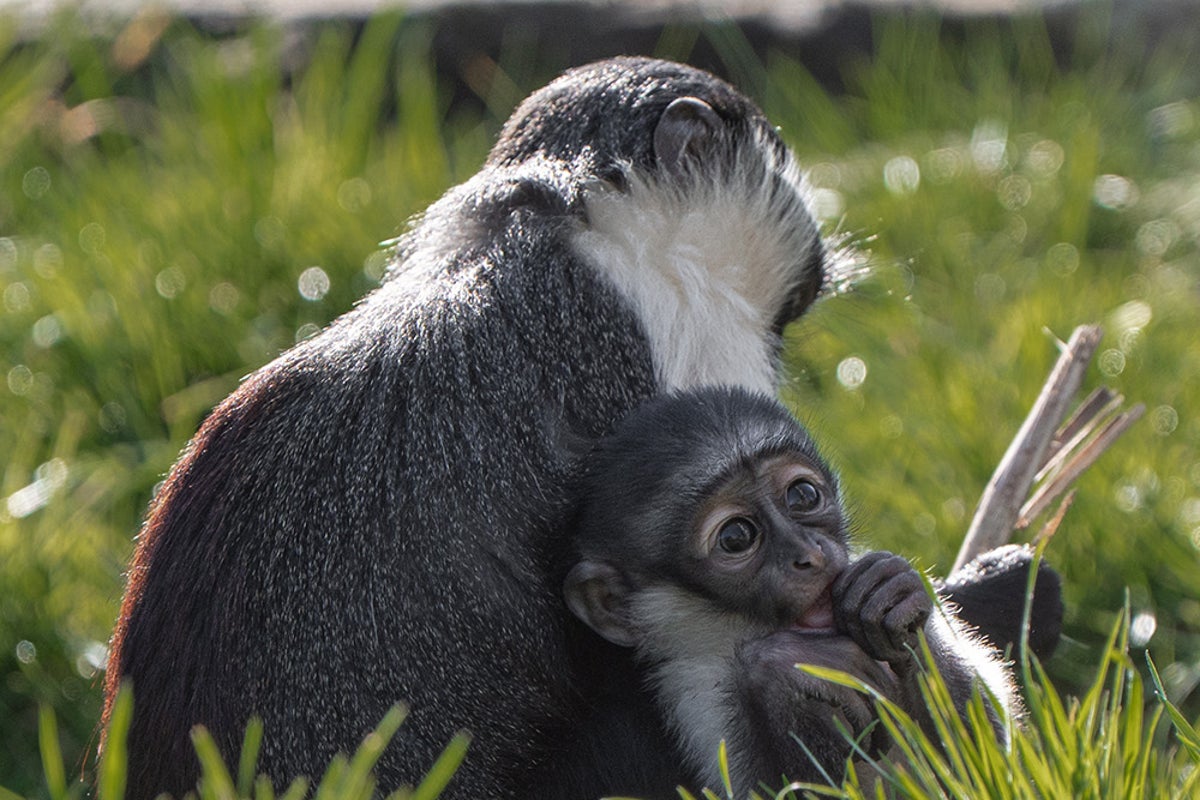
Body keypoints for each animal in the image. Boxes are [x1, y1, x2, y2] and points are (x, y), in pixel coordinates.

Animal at [554, 386, 1021, 798]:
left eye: (803, 494)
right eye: (736, 537)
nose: (809, 555)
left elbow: (979, 770)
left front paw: (892, 594)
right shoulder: (695, 691)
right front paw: (782, 668)